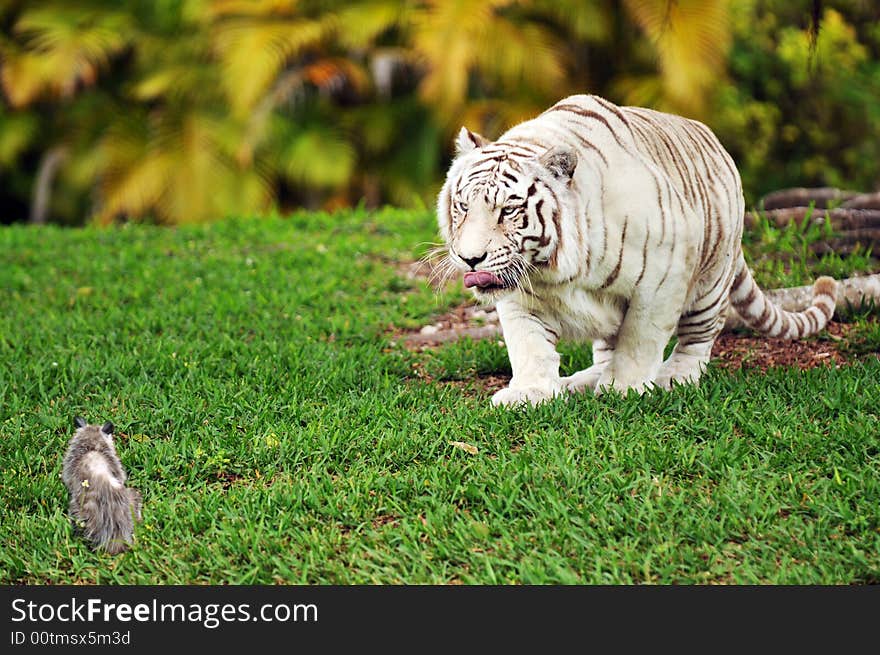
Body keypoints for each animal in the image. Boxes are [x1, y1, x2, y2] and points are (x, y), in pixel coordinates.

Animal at [436, 95, 836, 408]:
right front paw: (529, 393)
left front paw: (623, 389)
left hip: (710, 282)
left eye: (508, 210)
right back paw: (579, 382)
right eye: (463, 206)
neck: (553, 271)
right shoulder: (520, 294)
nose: (471, 259)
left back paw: (673, 376)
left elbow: (639, 339)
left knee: (698, 337)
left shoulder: (663, 278)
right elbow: (528, 344)